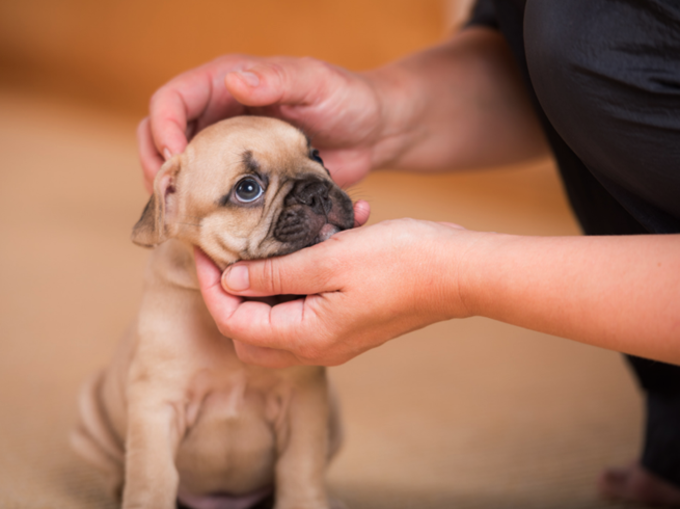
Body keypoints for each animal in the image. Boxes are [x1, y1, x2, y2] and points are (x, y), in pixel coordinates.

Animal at [71, 116, 354, 508]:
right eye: (248, 189)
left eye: (318, 156)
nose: (318, 190)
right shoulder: (157, 406)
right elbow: (152, 478)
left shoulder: (304, 404)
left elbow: (300, 472)